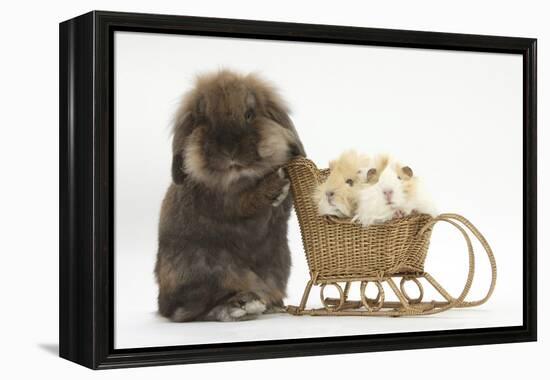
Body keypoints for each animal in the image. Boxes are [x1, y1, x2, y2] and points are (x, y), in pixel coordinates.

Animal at [156, 70, 306, 322]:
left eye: (249, 114)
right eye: (204, 120)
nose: (229, 150)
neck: (240, 175)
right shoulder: (224, 201)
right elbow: (246, 201)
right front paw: (275, 185)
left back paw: (268, 305)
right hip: (205, 272)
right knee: (189, 310)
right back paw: (241, 304)